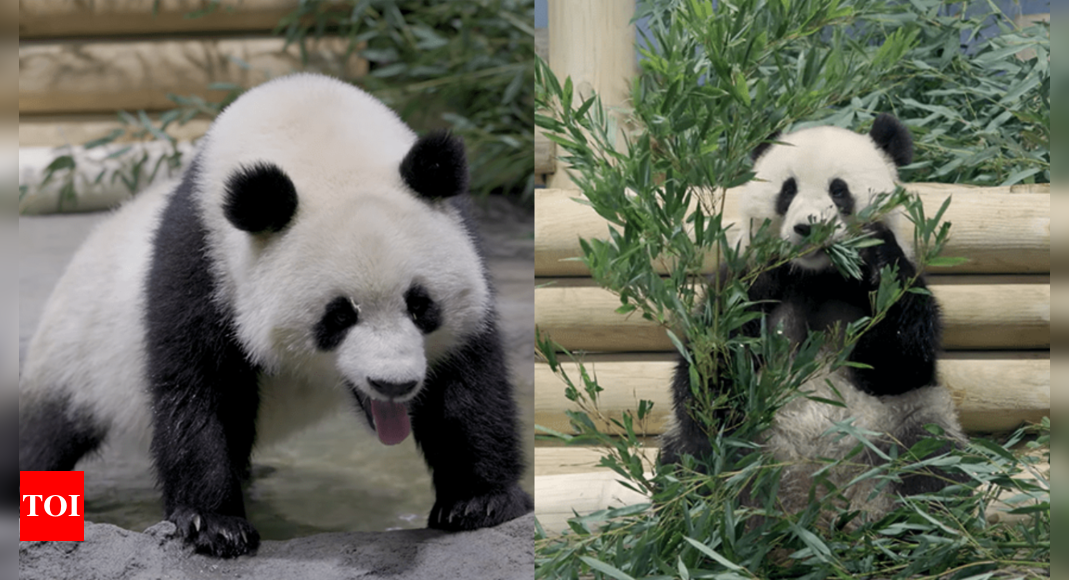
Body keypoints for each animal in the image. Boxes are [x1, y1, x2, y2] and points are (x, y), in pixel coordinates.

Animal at [658, 115, 970, 523]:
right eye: (788, 190)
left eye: (839, 191)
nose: (809, 227)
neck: (818, 275)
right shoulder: (743, 284)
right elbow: (709, 367)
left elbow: (901, 361)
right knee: (694, 464)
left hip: (899, 427)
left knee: (932, 465)